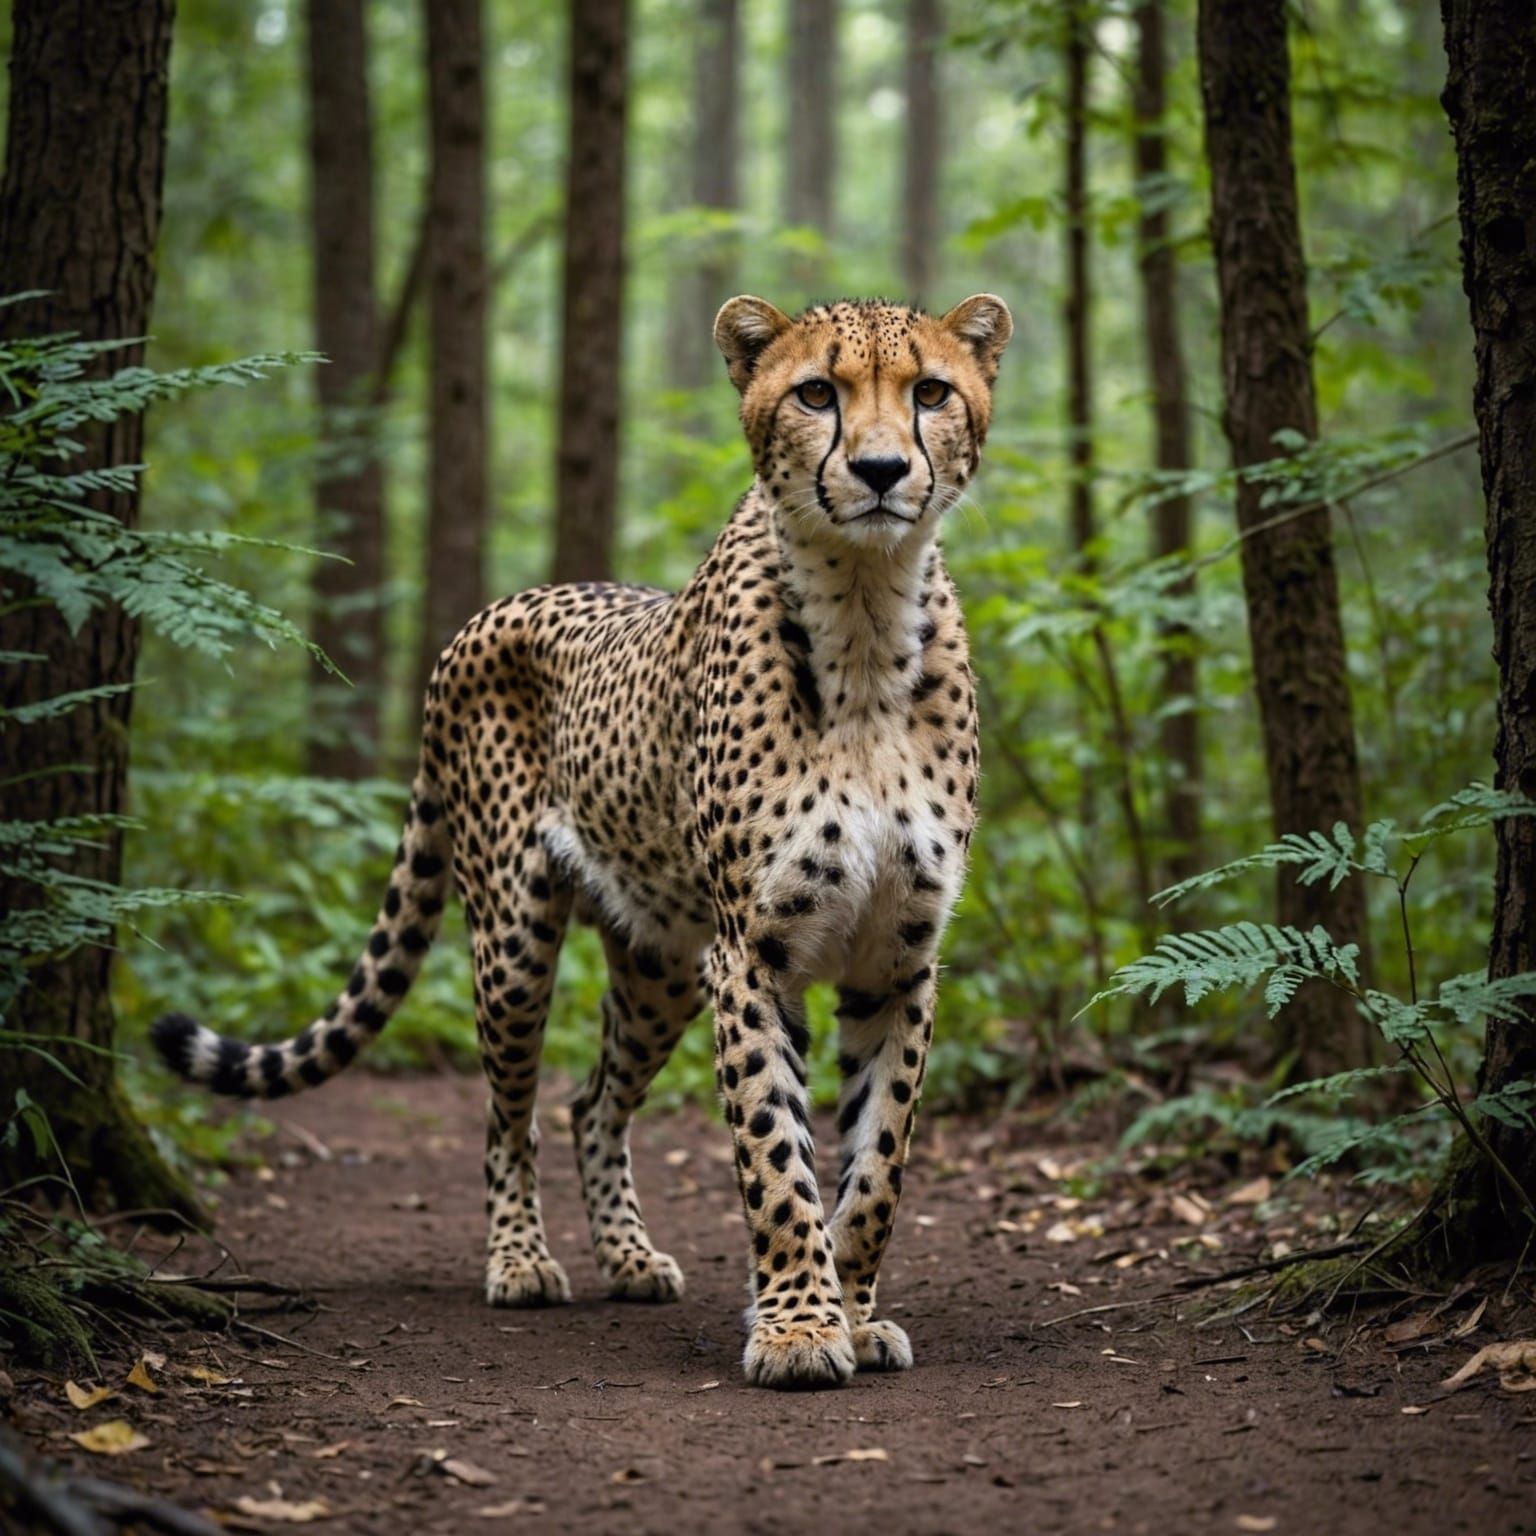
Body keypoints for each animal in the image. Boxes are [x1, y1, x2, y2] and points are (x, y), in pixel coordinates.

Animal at [153, 292, 1013, 1390]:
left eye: (931, 393)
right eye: (818, 393)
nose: (878, 470)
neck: (865, 612)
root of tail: (489, 612)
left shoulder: (896, 960)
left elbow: (878, 1165)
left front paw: (853, 1314)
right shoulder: (755, 953)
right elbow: (777, 1158)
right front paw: (796, 1327)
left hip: (662, 964)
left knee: (589, 1102)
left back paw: (631, 1257)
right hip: (517, 942)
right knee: (507, 1111)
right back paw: (521, 1260)